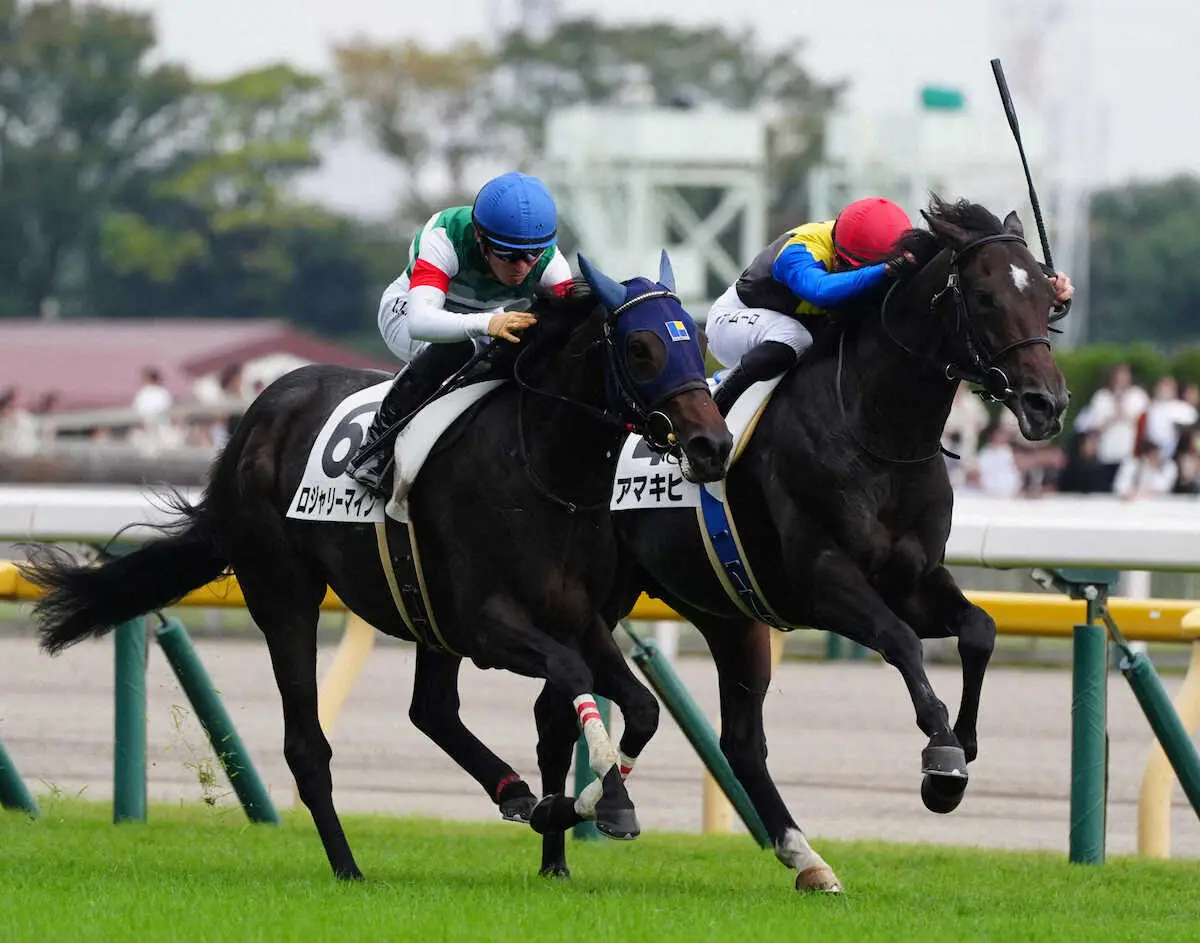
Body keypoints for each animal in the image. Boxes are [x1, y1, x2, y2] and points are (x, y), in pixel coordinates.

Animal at [23, 251, 729, 883]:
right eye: (640, 348)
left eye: (695, 341)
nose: (712, 444)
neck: (541, 468)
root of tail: (256, 417)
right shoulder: (488, 625)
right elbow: (573, 676)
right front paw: (590, 805)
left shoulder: (579, 617)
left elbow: (640, 707)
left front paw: (588, 809)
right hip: (284, 593)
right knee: (307, 743)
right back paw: (348, 867)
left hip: (424, 612)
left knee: (432, 710)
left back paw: (514, 793)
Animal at [530, 193, 1075, 887]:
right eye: (983, 297)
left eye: (1046, 296)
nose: (1046, 404)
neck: (877, 433)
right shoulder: (824, 579)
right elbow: (901, 642)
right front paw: (942, 758)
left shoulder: (914, 579)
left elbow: (979, 629)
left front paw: (964, 750)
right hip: (593, 598)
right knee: (556, 715)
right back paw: (557, 850)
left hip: (727, 614)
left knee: (739, 742)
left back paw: (803, 858)